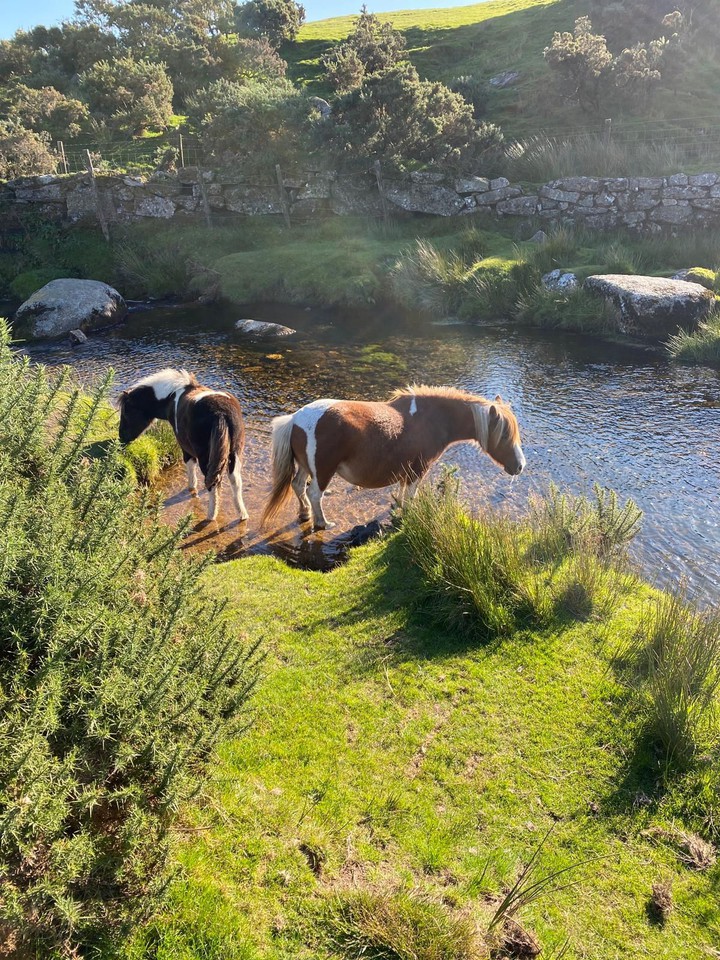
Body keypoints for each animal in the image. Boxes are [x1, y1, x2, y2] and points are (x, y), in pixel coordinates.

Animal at [118, 368, 248, 523]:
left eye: (126, 411)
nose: (121, 438)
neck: (171, 396)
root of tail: (221, 412)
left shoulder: (186, 449)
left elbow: (190, 468)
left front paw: (191, 489)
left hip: (206, 456)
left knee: (213, 483)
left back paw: (211, 516)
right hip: (235, 453)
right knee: (234, 481)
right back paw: (242, 515)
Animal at [262, 385, 525, 530]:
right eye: (504, 435)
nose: (520, 466)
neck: (431, 419)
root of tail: (295, 419)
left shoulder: (406, 468)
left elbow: (401, 490)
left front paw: (397, 507)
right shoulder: (419, 469)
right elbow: (411, 494)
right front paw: (407, 515)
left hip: (306, 467)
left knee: (298, 486)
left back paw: (305, 513)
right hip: (323, 471)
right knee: (314, 494)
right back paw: (322, 523)